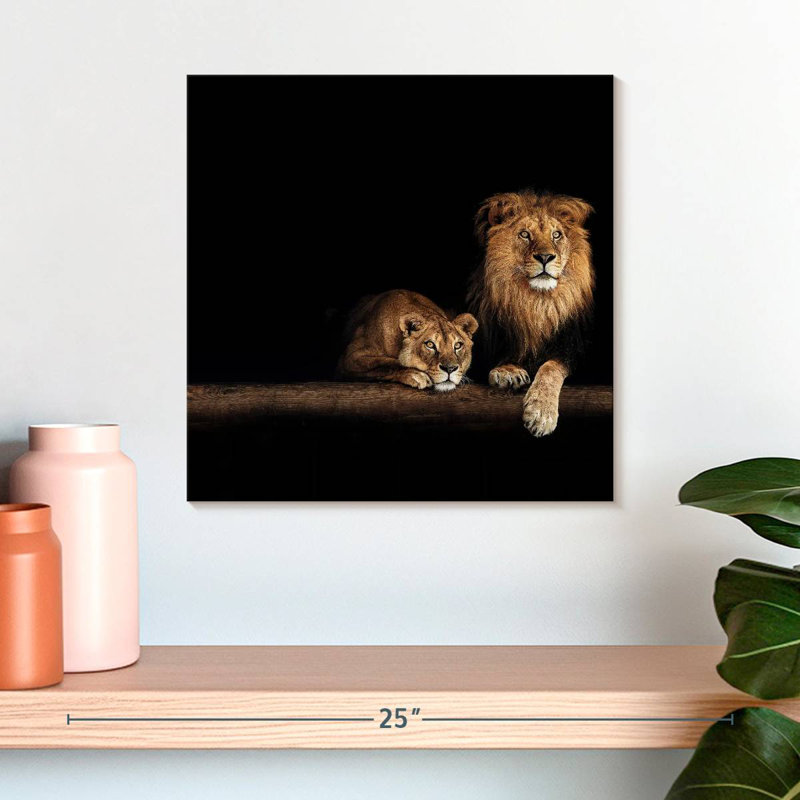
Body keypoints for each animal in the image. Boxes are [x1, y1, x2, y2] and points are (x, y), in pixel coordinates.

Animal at [338, 289, 478, 392]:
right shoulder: (349, 358)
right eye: (430, 344)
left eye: (458, 345)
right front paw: (416, 374)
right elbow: (385, 363)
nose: (450, 369)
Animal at [467, 191, 595, 436]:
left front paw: (541, 413)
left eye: (557, 235)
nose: (545, 257)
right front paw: (508, 371)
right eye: (525, 234)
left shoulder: (573, 349)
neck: (536, 304)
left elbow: (551, 367)